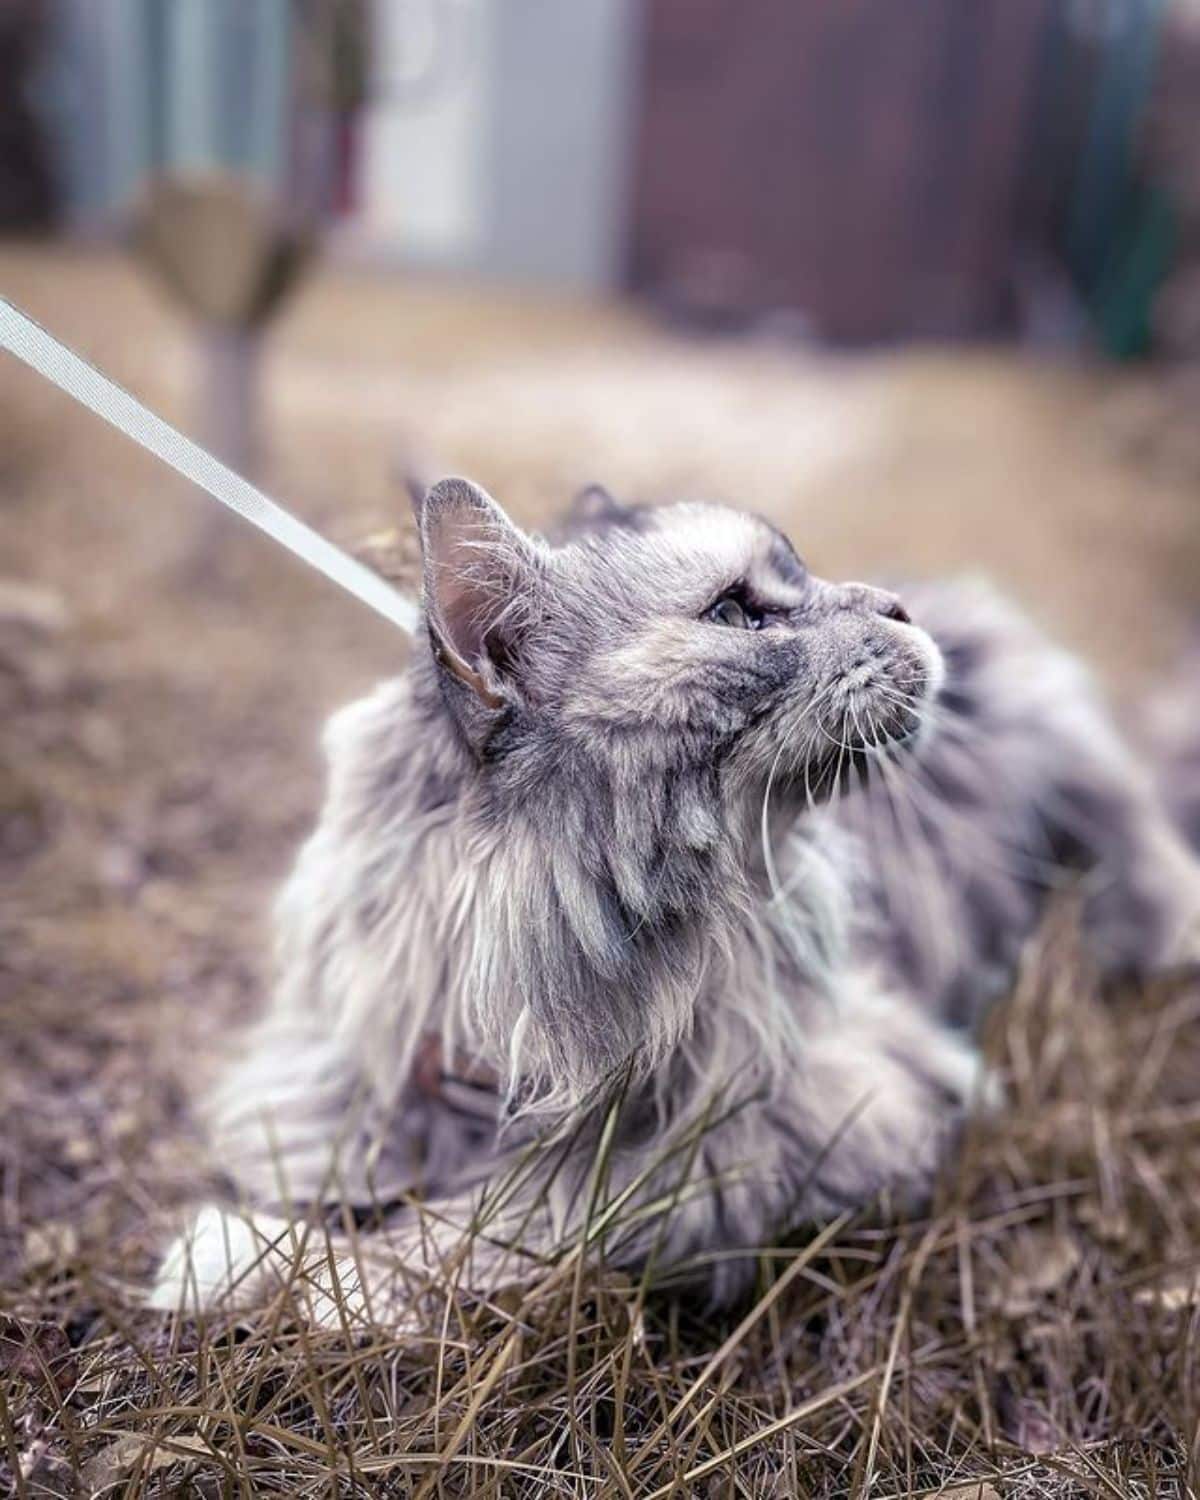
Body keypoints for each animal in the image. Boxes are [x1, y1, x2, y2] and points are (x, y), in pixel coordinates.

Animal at [152, 474, 1200, 1320]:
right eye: (736, 616)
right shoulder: (342, 1079)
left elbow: (505, 1220)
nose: (899, 608)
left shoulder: (798, 1122)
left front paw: (276, 1269)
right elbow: (338, 1148)